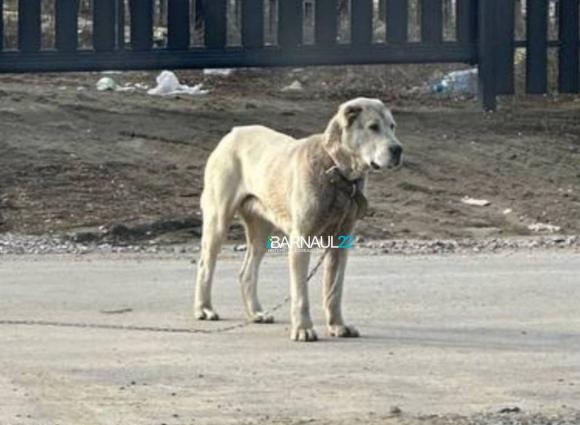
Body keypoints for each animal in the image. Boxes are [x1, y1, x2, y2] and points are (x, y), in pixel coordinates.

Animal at [195, 97, 404, 342]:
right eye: (373, 127)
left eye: (392, 126)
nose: (398, 150)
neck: (336, 170)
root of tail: (232, 133)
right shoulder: (301, 240)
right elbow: (300, 293)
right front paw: (303, 328)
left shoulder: (340, 243)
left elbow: (334, 289)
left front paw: (338, 325)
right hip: (218, 218)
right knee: (205, 264)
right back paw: (204, 309)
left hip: (261, 230)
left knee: (247, 272)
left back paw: (256, 313)